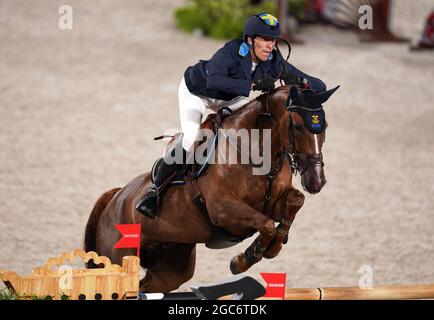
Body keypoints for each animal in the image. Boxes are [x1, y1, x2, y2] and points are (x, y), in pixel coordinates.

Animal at [82, 83, 340, 292]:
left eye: (325, 125)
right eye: (297, 126)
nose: (317, 181)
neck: (257, 152)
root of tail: (115, 197)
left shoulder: (272, 204)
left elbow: (295, 202)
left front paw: (274, 246)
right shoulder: (223, 210)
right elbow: (266, 225)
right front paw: (244, 259)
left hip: (171, 268)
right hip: (118, 258)